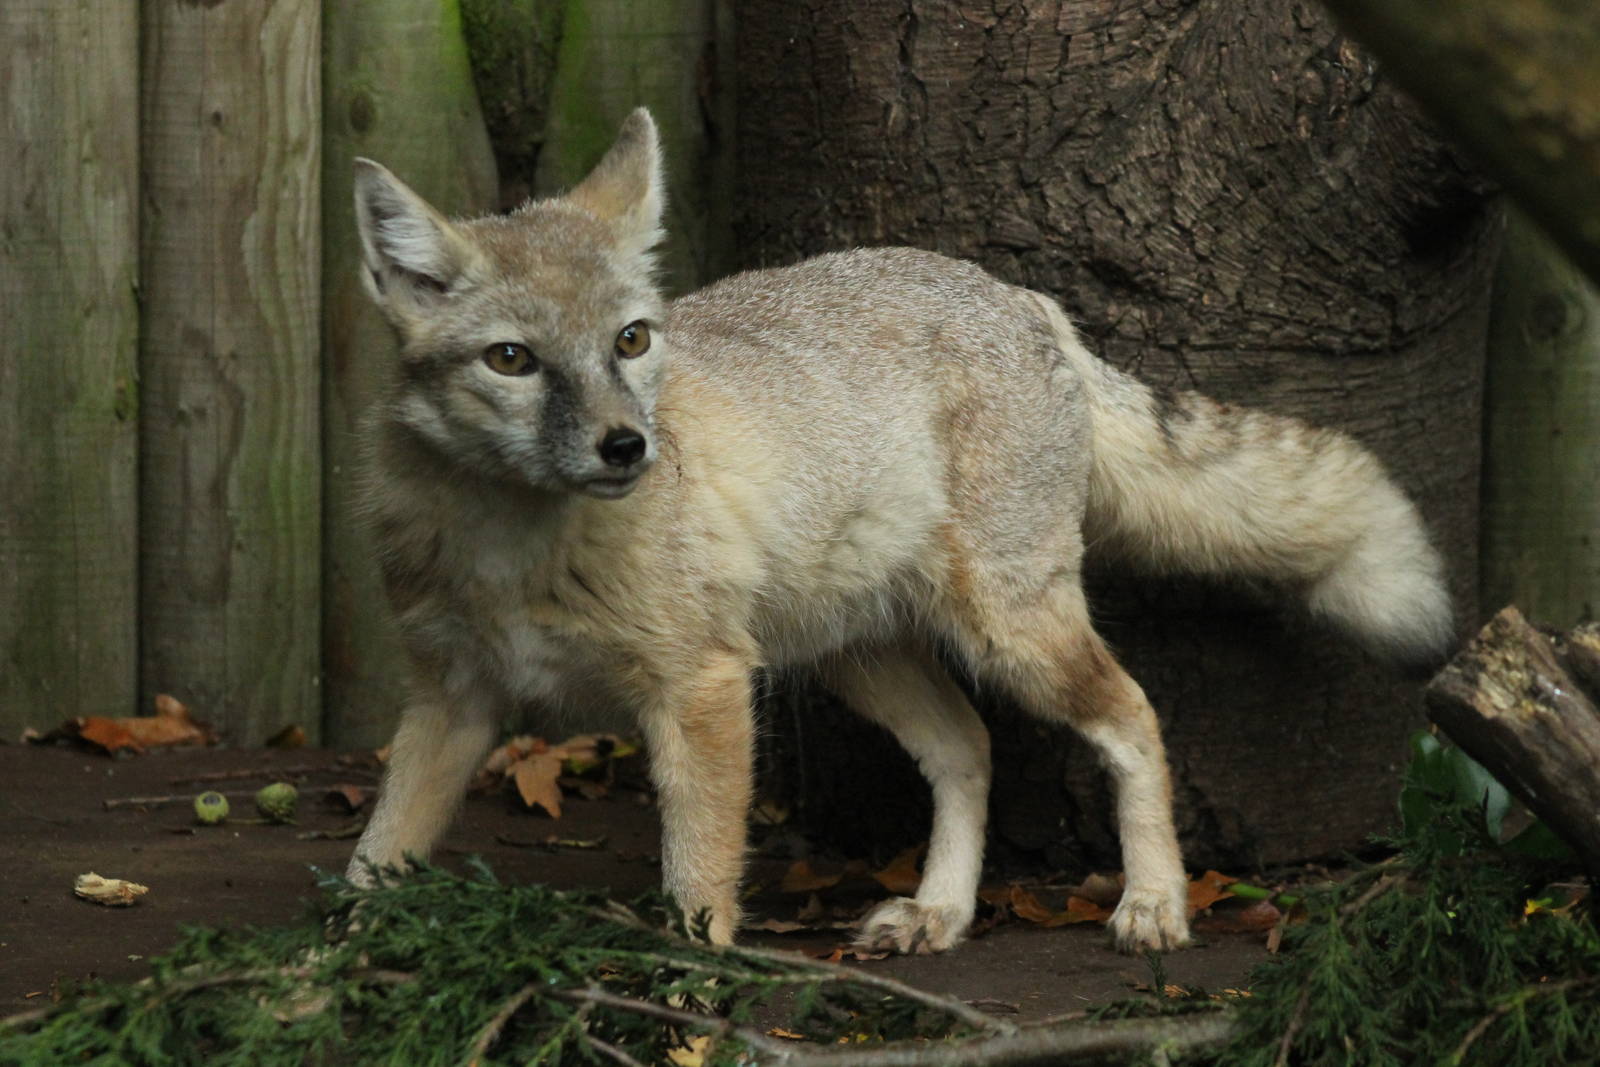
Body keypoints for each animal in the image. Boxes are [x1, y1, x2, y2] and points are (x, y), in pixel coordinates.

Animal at [345, 107, 1452, 955]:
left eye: (630, 340)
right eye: (513, 359)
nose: (628, 447)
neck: (512, 548)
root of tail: (1021, 298)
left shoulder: (699, 686)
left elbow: (697, 881)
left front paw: (690, 994)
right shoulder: (453, 697)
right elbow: (372, 860)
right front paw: (334, 971)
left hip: (1011, 633)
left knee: (1133, 715)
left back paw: (1153, 899)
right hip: (861, 657)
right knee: (969, 748)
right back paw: (942, 909)